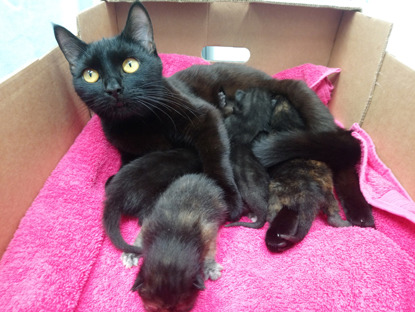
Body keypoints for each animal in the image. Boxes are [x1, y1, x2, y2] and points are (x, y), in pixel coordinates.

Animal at [54, 1, 244, 222]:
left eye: (130, 65)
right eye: (90, 75)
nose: (113, 88)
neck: (140, 122)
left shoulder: (205, 116)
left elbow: (215, 153)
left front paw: (225, 196)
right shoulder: (128, 147)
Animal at [127, 173, 228, 312]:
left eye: (182, 309)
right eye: (154, 309)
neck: (172, 240)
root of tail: (201, 177)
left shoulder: (207, 231)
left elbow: (210, 249)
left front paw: (209, 266)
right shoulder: (150, 224)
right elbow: (140, 236)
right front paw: (131, 253)